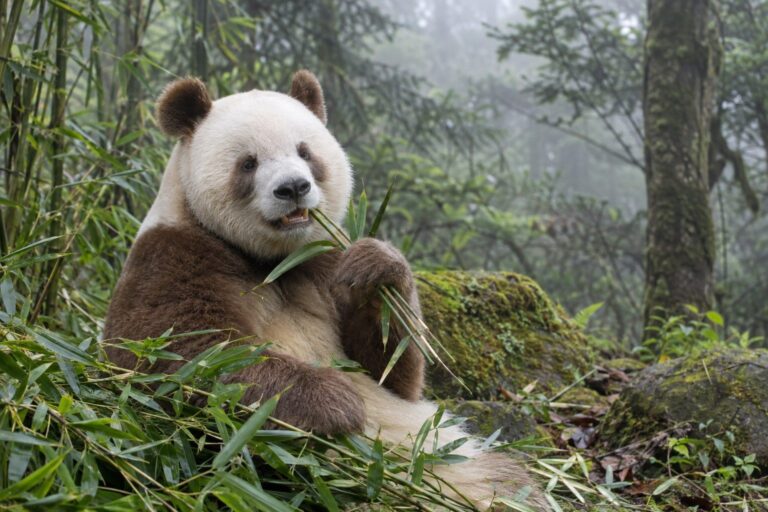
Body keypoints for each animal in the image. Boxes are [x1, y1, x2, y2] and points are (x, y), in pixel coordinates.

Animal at [103, 71, 548, 510]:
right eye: (248, 162)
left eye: (304, 152)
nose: (293, 188)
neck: (273, 261)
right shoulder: (174, 255)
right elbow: (178, 356)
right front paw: (336, 401)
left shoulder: (324, 263)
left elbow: (390, 369)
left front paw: (378, 268)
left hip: (453, 457)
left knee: (509, 482)